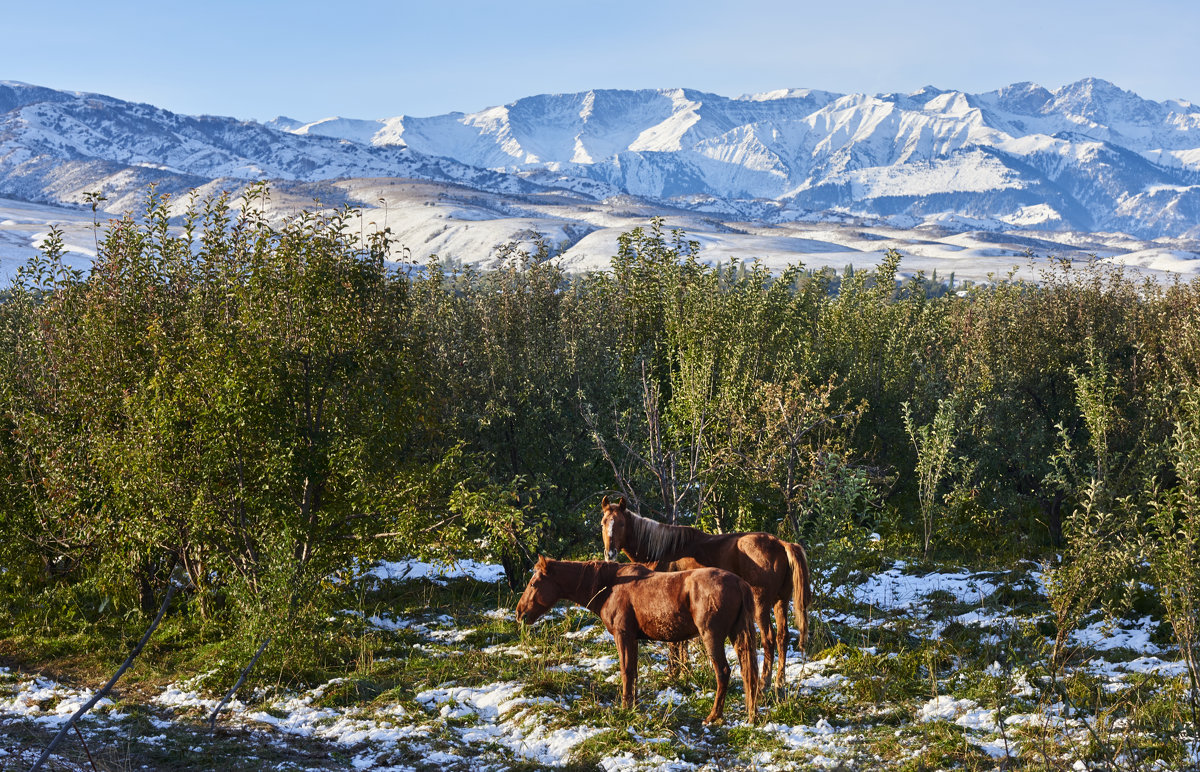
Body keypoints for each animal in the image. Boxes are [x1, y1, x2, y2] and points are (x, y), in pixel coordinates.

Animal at [516, 554, 758, 725]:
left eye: (533, 583)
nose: (519, 613)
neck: (611, 586)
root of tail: (740, 583)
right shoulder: (632, 638)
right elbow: (633, 671)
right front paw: (633, 705)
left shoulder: (623, 635)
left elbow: (626, 671)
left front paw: (625, 707)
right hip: (737, 635)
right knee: (748, 671)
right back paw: (751, 714)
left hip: (712, 636)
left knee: (723, 672)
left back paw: (714, 716)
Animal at [600, 494, 816, 686]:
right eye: (603, 522)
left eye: (621, 524)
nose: (610, 553)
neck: (665, 551)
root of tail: (781, 544)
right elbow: (682, 642)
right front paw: (684, 671)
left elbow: (674, 642)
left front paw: (674, 672)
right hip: (781, 601)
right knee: (782, 637)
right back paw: (780, 682)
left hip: (761, 604)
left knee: (769, 638)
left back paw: (765, 682)